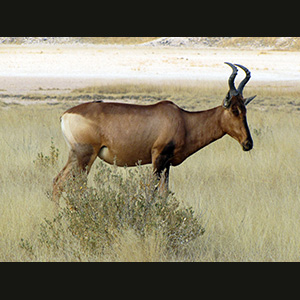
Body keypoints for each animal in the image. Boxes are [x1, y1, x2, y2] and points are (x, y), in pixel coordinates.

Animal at [52, 62, 256, 205]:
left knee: (58, 181)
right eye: (234, 110)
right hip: (85, 156)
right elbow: (151, 191)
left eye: (245, 109)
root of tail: (65, 115)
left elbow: (164, 194)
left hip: (75, 155)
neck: (182, 119)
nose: (248, 144)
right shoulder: (158, 158)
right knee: (72, 185)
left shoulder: (167, 164)